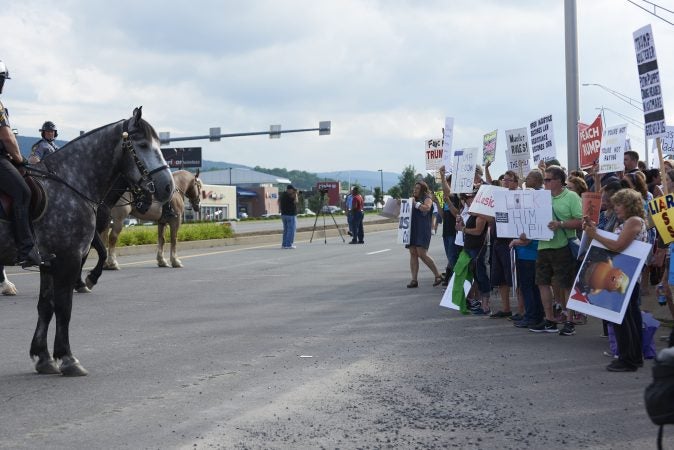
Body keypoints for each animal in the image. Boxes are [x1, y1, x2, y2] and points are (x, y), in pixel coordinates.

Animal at [1, 106, 173, 376]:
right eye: (143, 144)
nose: (168, 187)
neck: (71, 183)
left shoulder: (49, 262)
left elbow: (46, 306)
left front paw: (43, 357)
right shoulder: (69, 257)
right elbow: (64, 307)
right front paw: (67, 358)